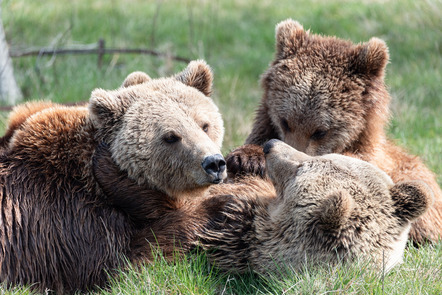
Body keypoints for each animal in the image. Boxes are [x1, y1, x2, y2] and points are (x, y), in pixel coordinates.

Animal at [0, 60, 228, 294]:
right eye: (171, 136)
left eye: (205, 125)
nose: (214, 163)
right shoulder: (66, 224)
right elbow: (124, 265)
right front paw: (217, 205)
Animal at [93, 140, 432, 276]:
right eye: (323, 157)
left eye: (303, 167)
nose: (271, 144)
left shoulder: (228, 236)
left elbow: (149, 243)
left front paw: (107, 164)